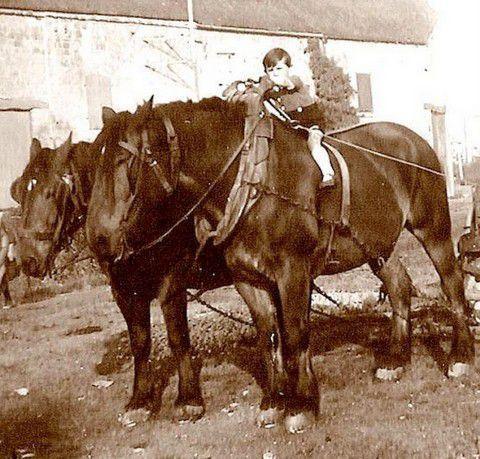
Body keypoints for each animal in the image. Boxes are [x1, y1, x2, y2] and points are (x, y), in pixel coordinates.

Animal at [85, 98, 472, 434]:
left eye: (128, 161)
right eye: (93, 165)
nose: (99, 239)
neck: (251, 183)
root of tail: (414, 139)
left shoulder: (290, 273)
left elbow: (294, 333)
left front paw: (302, 404)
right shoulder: (245, 279)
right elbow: (267, 335)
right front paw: (273, 400)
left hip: (433, 228)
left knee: (452, 285)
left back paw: (460, 356)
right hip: (378, 244)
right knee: (399, 286)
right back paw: (397, 360)